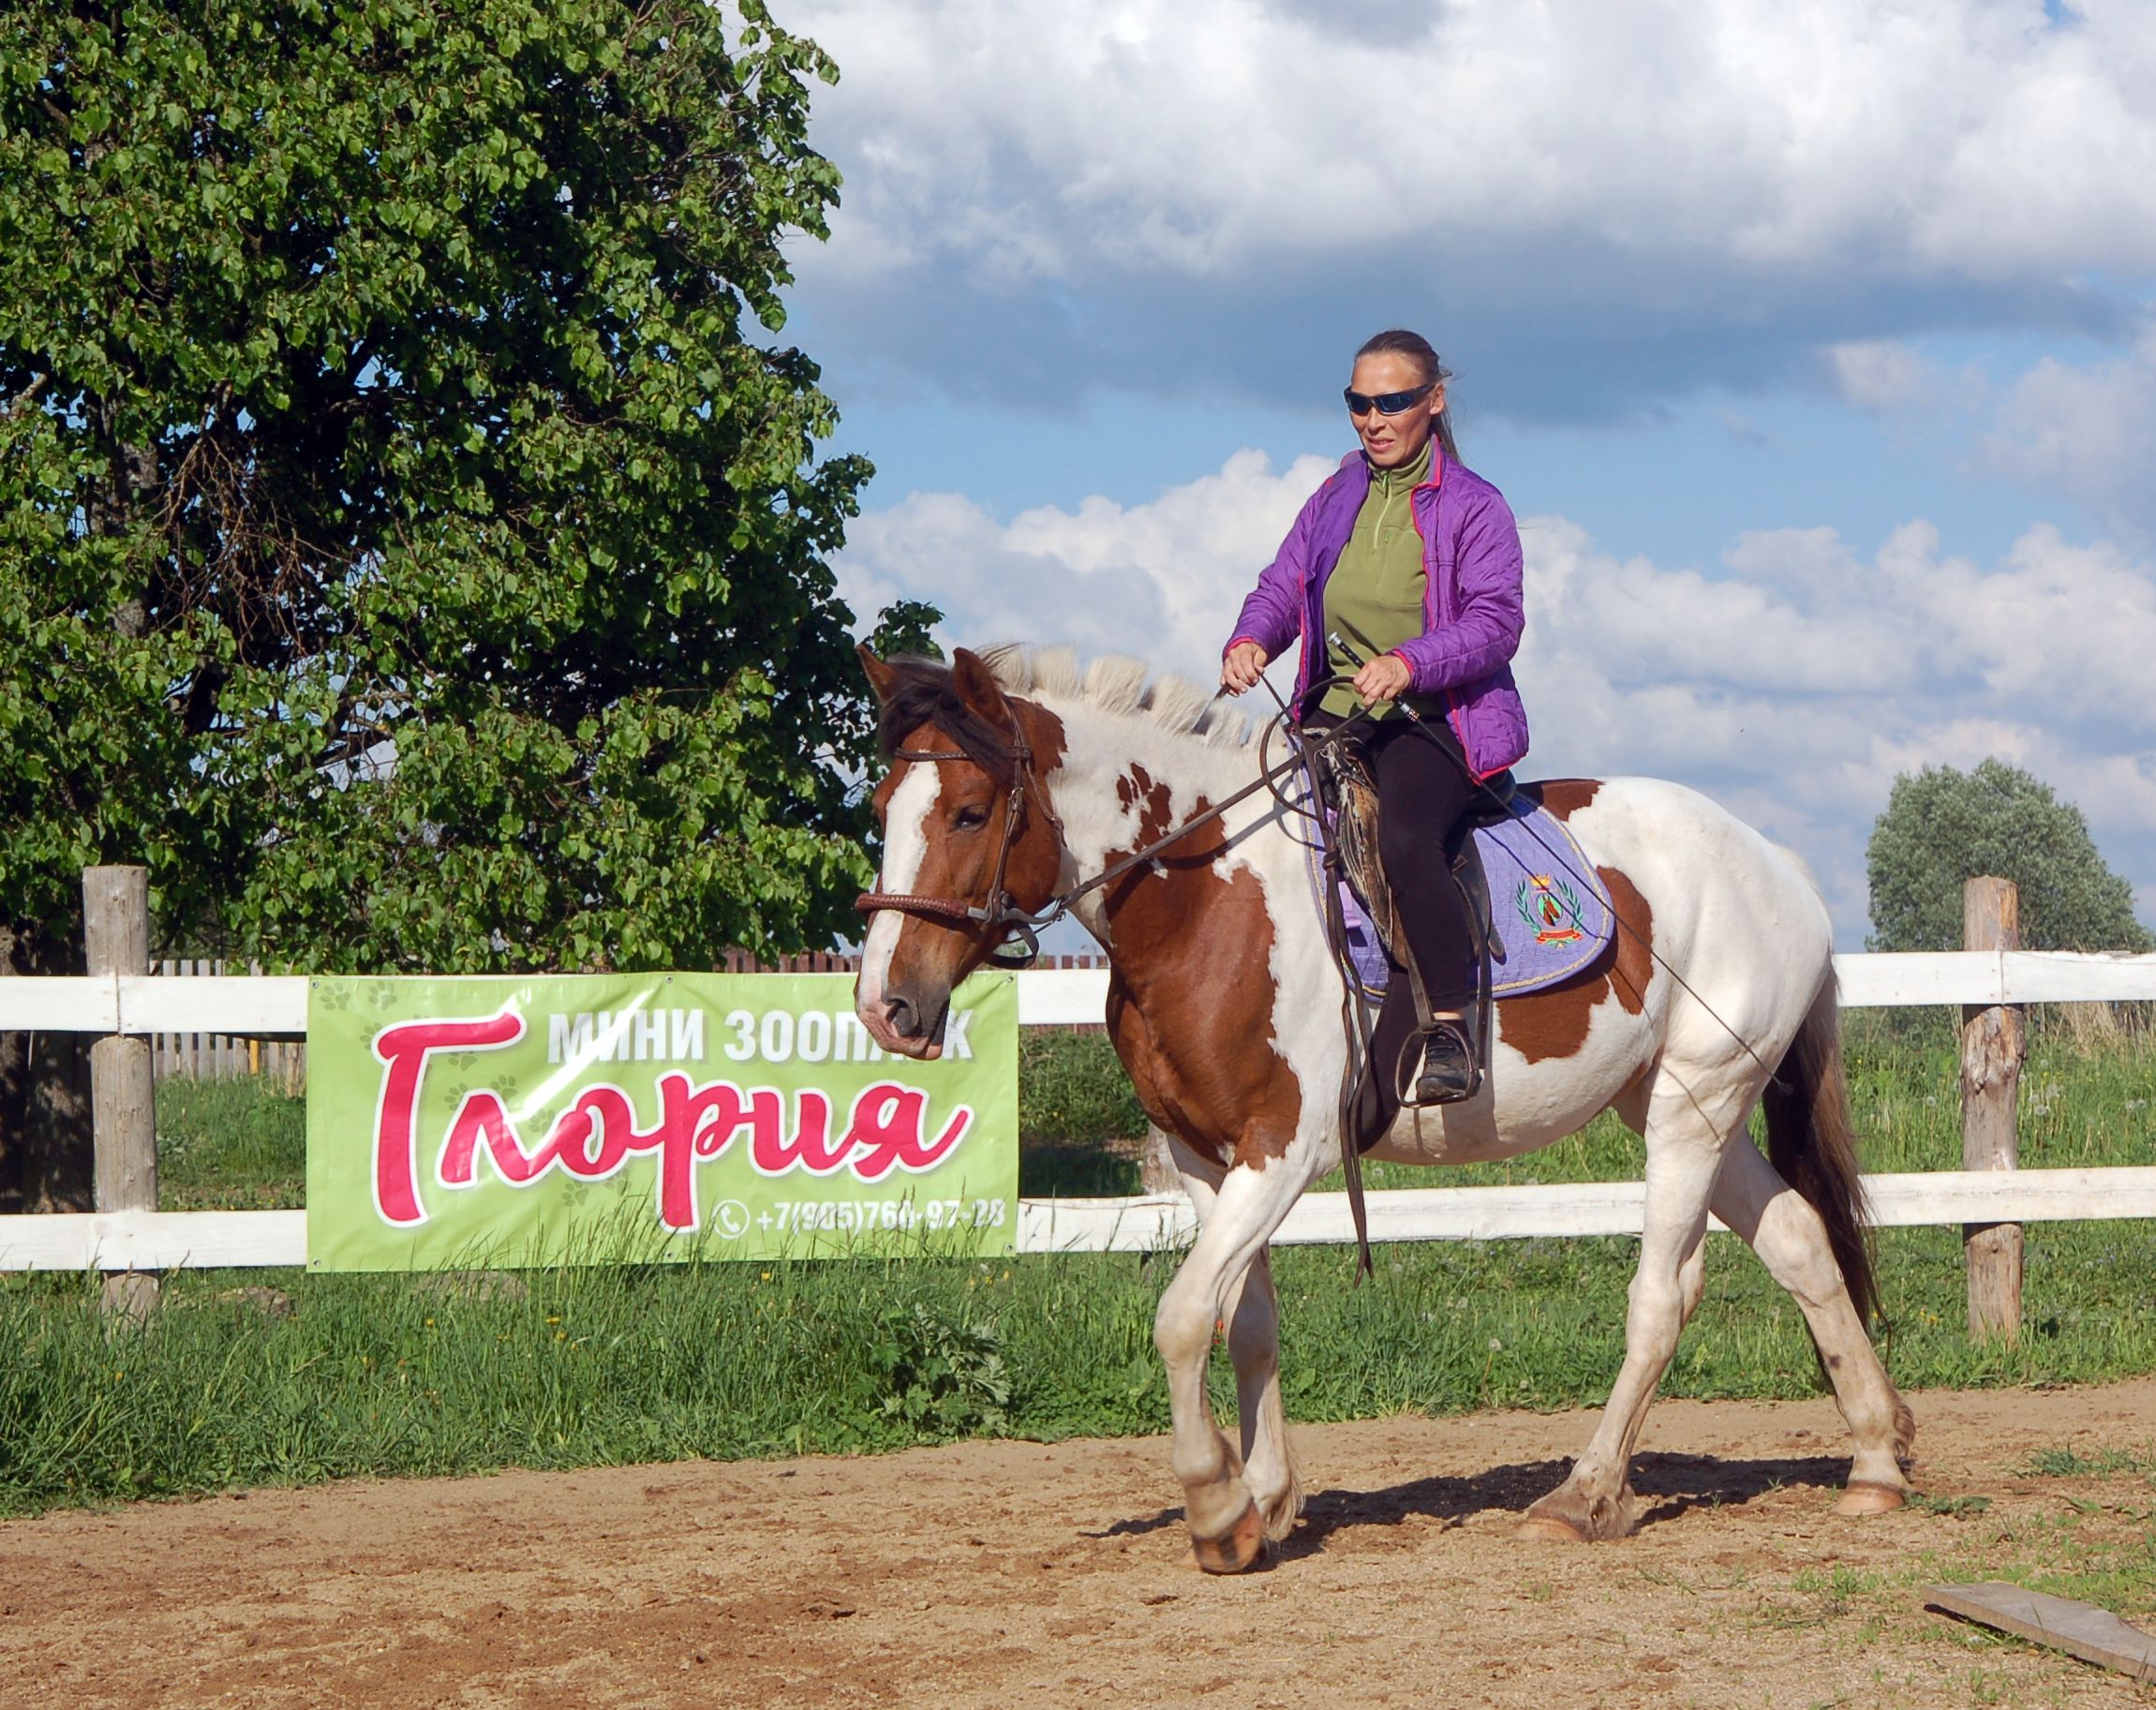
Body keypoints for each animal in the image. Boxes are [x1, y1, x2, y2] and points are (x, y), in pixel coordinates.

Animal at [852, 643, 1914, 1572]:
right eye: (881, 806)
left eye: (970, 813)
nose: (886, 1006)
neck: (1207, 895)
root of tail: (1775, 864)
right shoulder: (1203, 1157)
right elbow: (1246, 1320)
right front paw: (1265, 1498)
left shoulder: (1284, 1150)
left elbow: (1184, 1316)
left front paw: (1216, 1506)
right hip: (1680, 1102)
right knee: (1800, 1243)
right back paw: (1874, 1460)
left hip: (1694, 1106)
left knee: (1662, 1295)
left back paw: (1583, 1493)